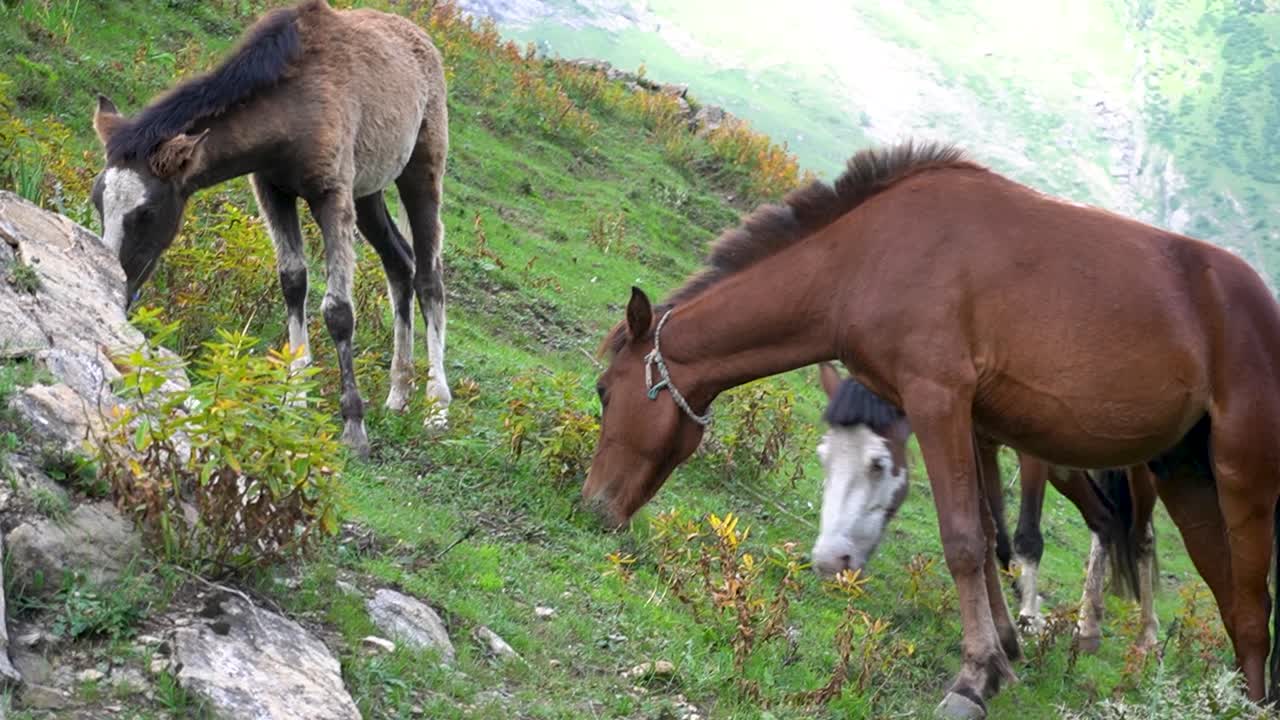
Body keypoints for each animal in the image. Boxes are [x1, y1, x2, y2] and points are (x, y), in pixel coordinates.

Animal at [89, 0, 452, 457]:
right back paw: (398, 393)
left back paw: (436, 406)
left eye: (147, 212)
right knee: (399, 263)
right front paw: (294, 395)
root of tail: (425, 43)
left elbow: (338, 310)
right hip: (370, 190)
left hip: (420, 169)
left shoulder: (332, 193)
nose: (117, 292)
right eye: (97, 200)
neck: (292, 111)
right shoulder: (273, 189)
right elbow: (293, 282)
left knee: (428, 277)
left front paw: (353, 425)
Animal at [811, 363, 1160, 659]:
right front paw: (1020, 602)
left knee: (1141, 536)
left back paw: (1148, 637)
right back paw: (1089, 627)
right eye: (823, 457)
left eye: (878, 464)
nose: (831, 560)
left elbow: (1027, 537)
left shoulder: (1031, 454)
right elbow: (998, 539)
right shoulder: (984, 445)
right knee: (1104, 517)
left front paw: (1030, 619)